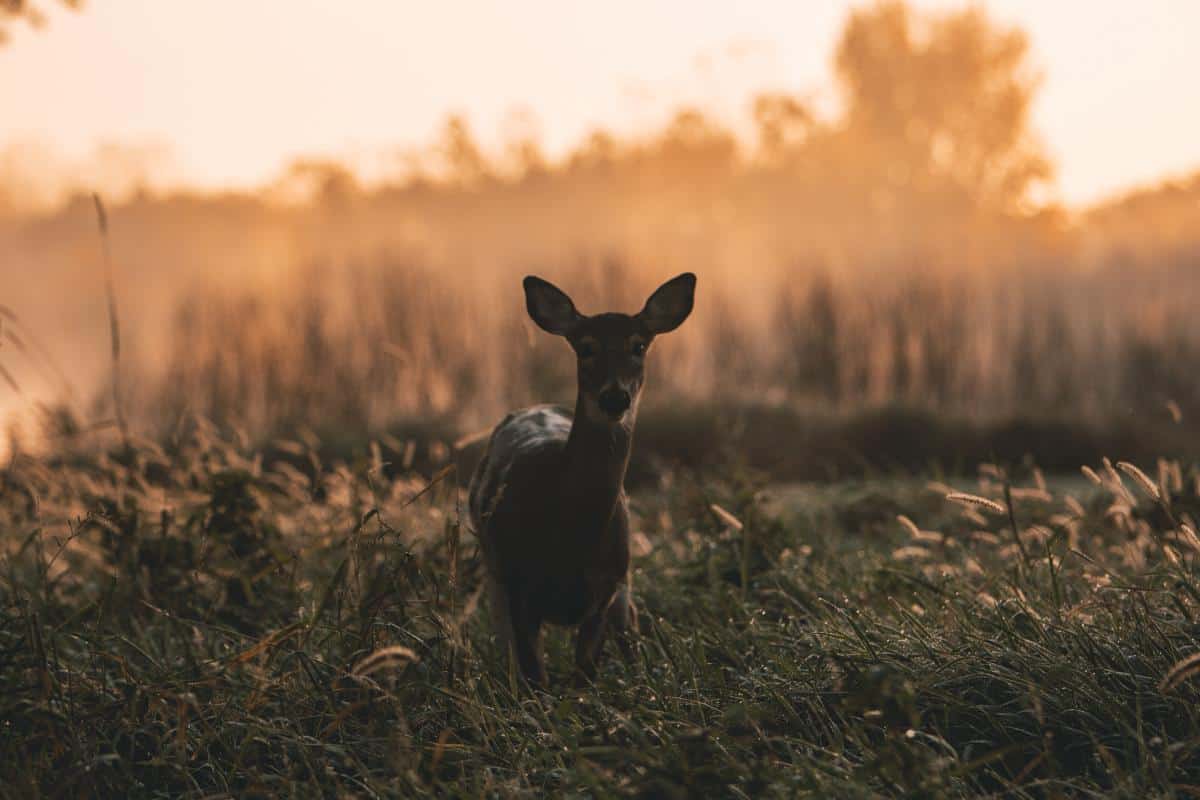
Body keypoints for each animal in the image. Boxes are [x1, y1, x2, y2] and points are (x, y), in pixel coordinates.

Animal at [465, 272, 696, 686]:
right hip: (494, 576)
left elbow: (584, 673)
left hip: (624, 584)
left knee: (631, 633)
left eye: (638, 345)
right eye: (585, 348)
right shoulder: (519, 586)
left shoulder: (604, 593)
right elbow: (534, 678)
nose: (614, 398)